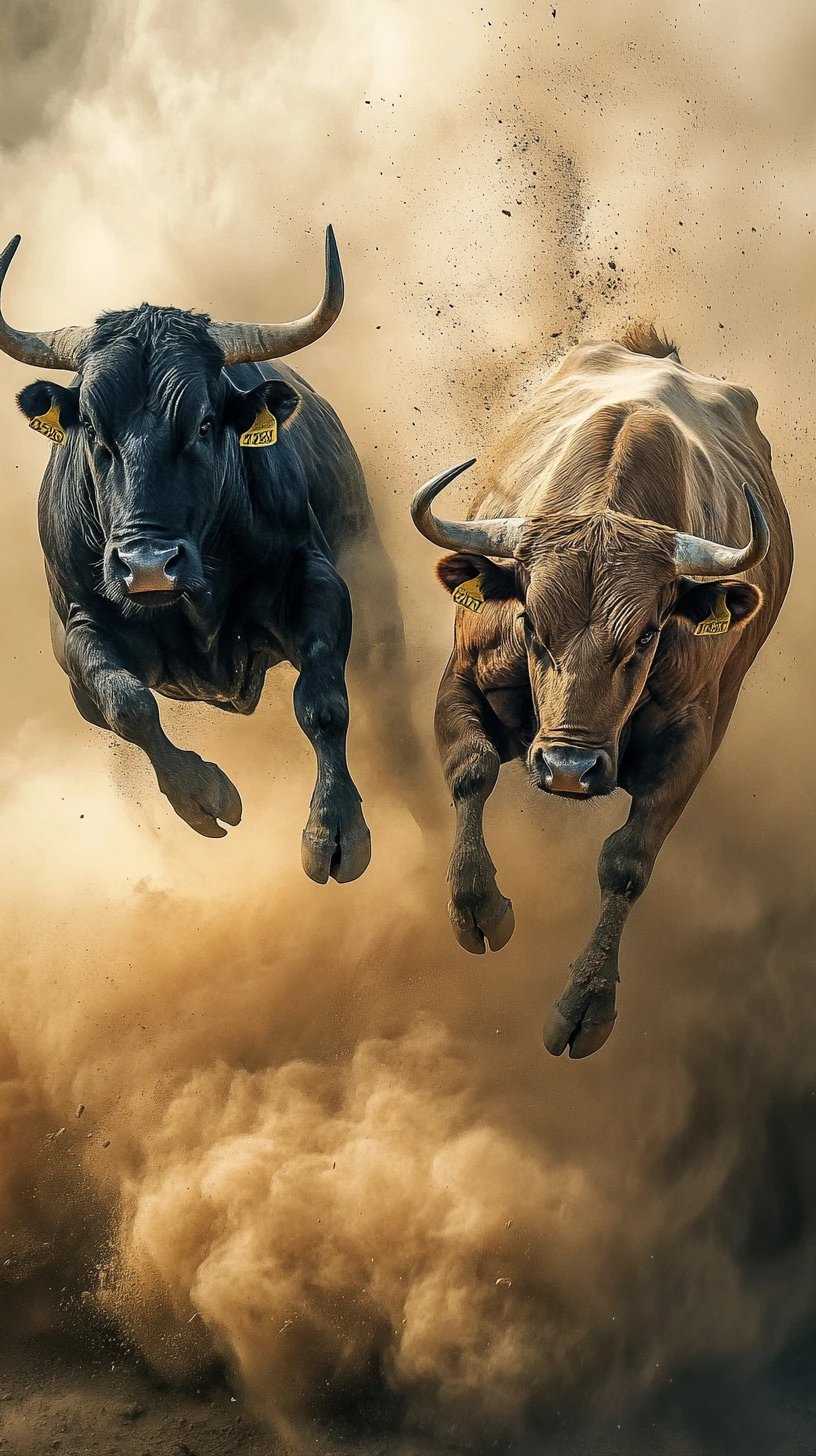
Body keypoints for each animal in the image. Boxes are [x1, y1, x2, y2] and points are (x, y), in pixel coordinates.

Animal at [0, 228, 415, 884]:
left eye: (201, 423)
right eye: (92, 427)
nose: (147, 566)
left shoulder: (319, 584)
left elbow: (322, 702)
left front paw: (335, 829)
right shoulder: (79, 631)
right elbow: (128, 704)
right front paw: (202, 796)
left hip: (380, 614)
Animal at [411, 325, 793, 1058]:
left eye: (645, 637)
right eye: (531, 623)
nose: (568, 768)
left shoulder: (691, 741)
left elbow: (627, 861)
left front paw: (587, 1004)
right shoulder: (464, 675)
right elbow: (471, 770)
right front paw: (479, 910)